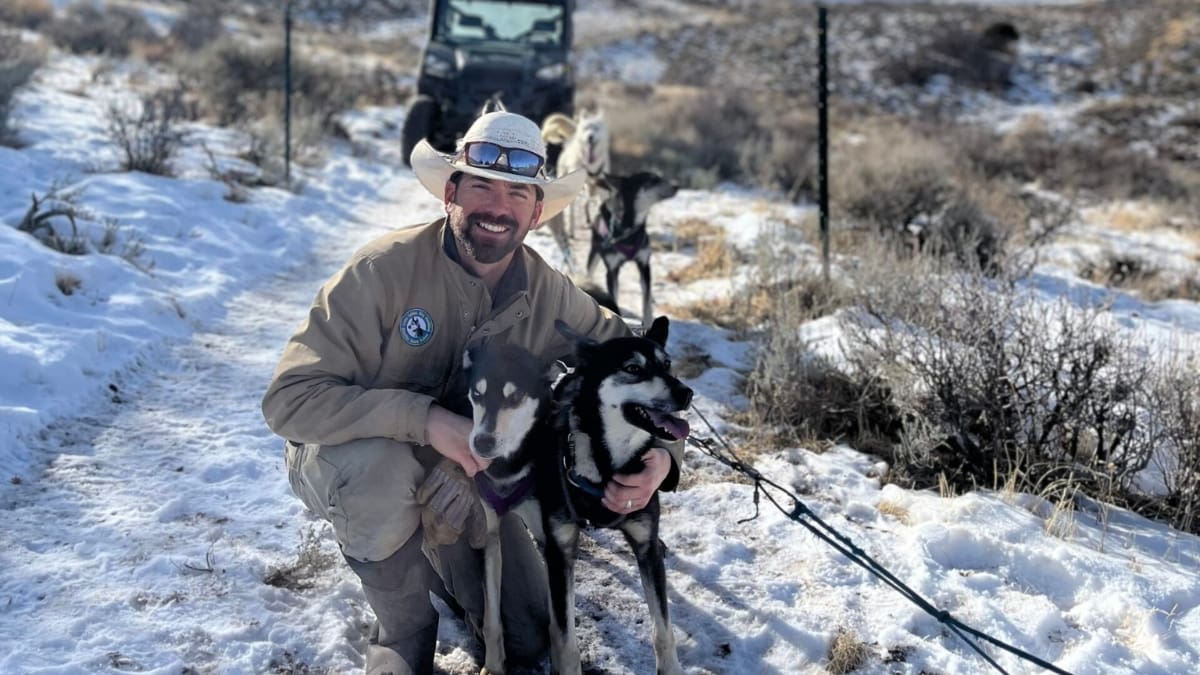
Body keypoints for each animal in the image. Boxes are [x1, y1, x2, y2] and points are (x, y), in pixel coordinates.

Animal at [540, 108, 609, 267]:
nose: (590, 137)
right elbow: (571, 213)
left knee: (588, 201)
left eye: (596, 128)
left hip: (591, 189)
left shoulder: (601, 190)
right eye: (587, 128)